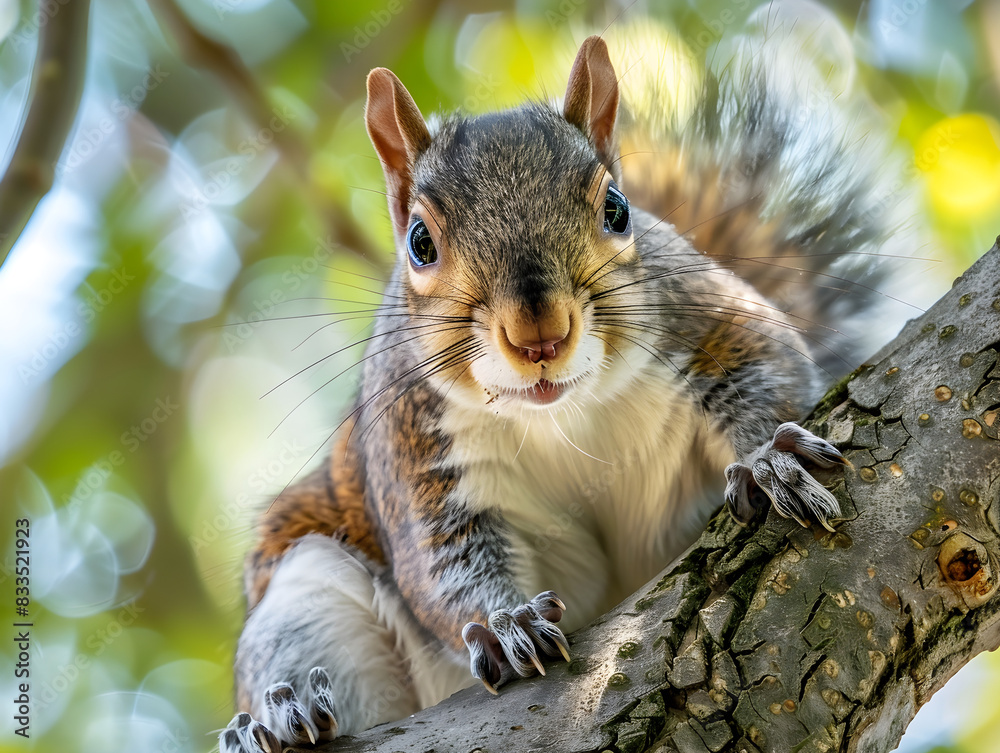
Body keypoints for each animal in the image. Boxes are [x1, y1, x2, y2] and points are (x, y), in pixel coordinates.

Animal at [220, 8, 920, 751]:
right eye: (419, 242)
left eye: (617, 207)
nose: (540, 336)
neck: (560, 414)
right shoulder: (415, 449)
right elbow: (442, 565)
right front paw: (508, 622)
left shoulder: (711, 321)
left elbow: (770, 364)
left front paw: (767, 460)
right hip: (308, 591)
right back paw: (281, 719)